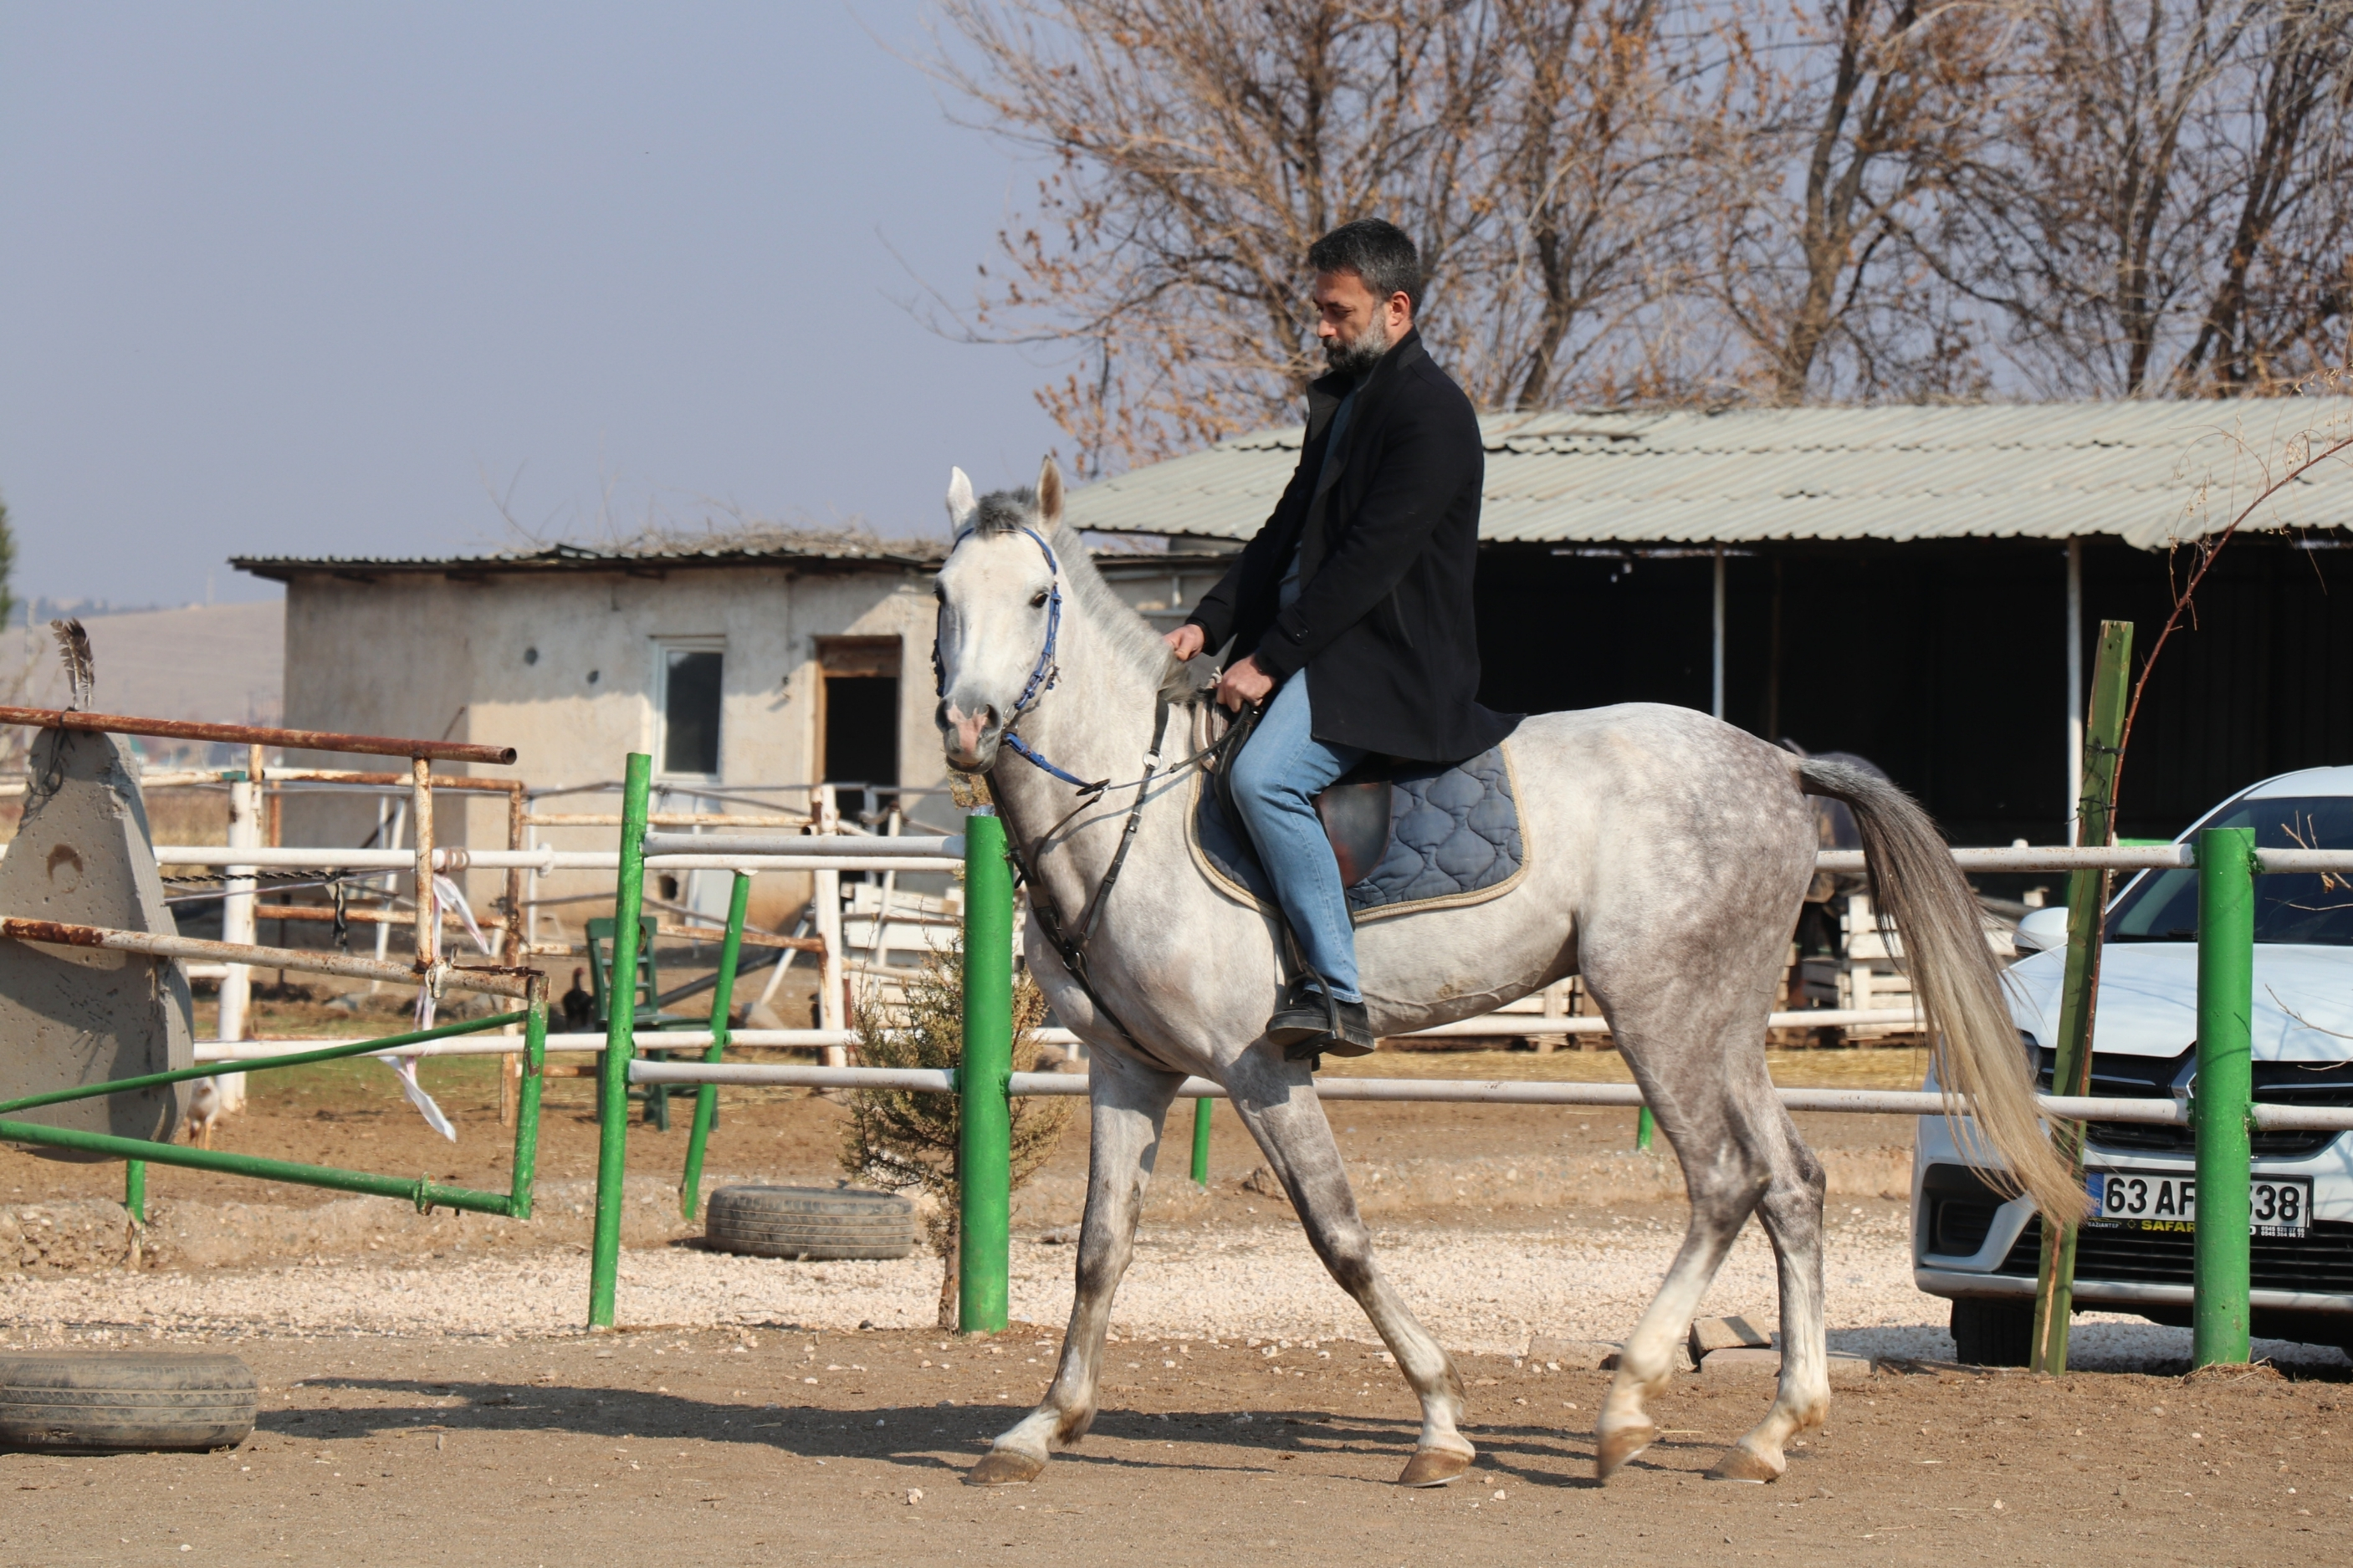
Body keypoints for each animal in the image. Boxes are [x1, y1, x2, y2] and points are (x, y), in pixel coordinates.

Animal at [927, 460, 2070, 1494]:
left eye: (1036, 600)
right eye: (942, 594)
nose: (967, 727)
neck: (1131, 810)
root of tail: (1781, 765)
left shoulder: (1259, 1068)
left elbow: (1339, 1237)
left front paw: (1439, 1423)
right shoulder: (1128, 1069)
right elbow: (1099, 1249)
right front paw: (1040, 1427)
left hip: (1652, 1011)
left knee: (1721, 1181)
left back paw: (1627, 1408)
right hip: (1724, 1021)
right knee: (1790, 1183)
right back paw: (1771, 1431)